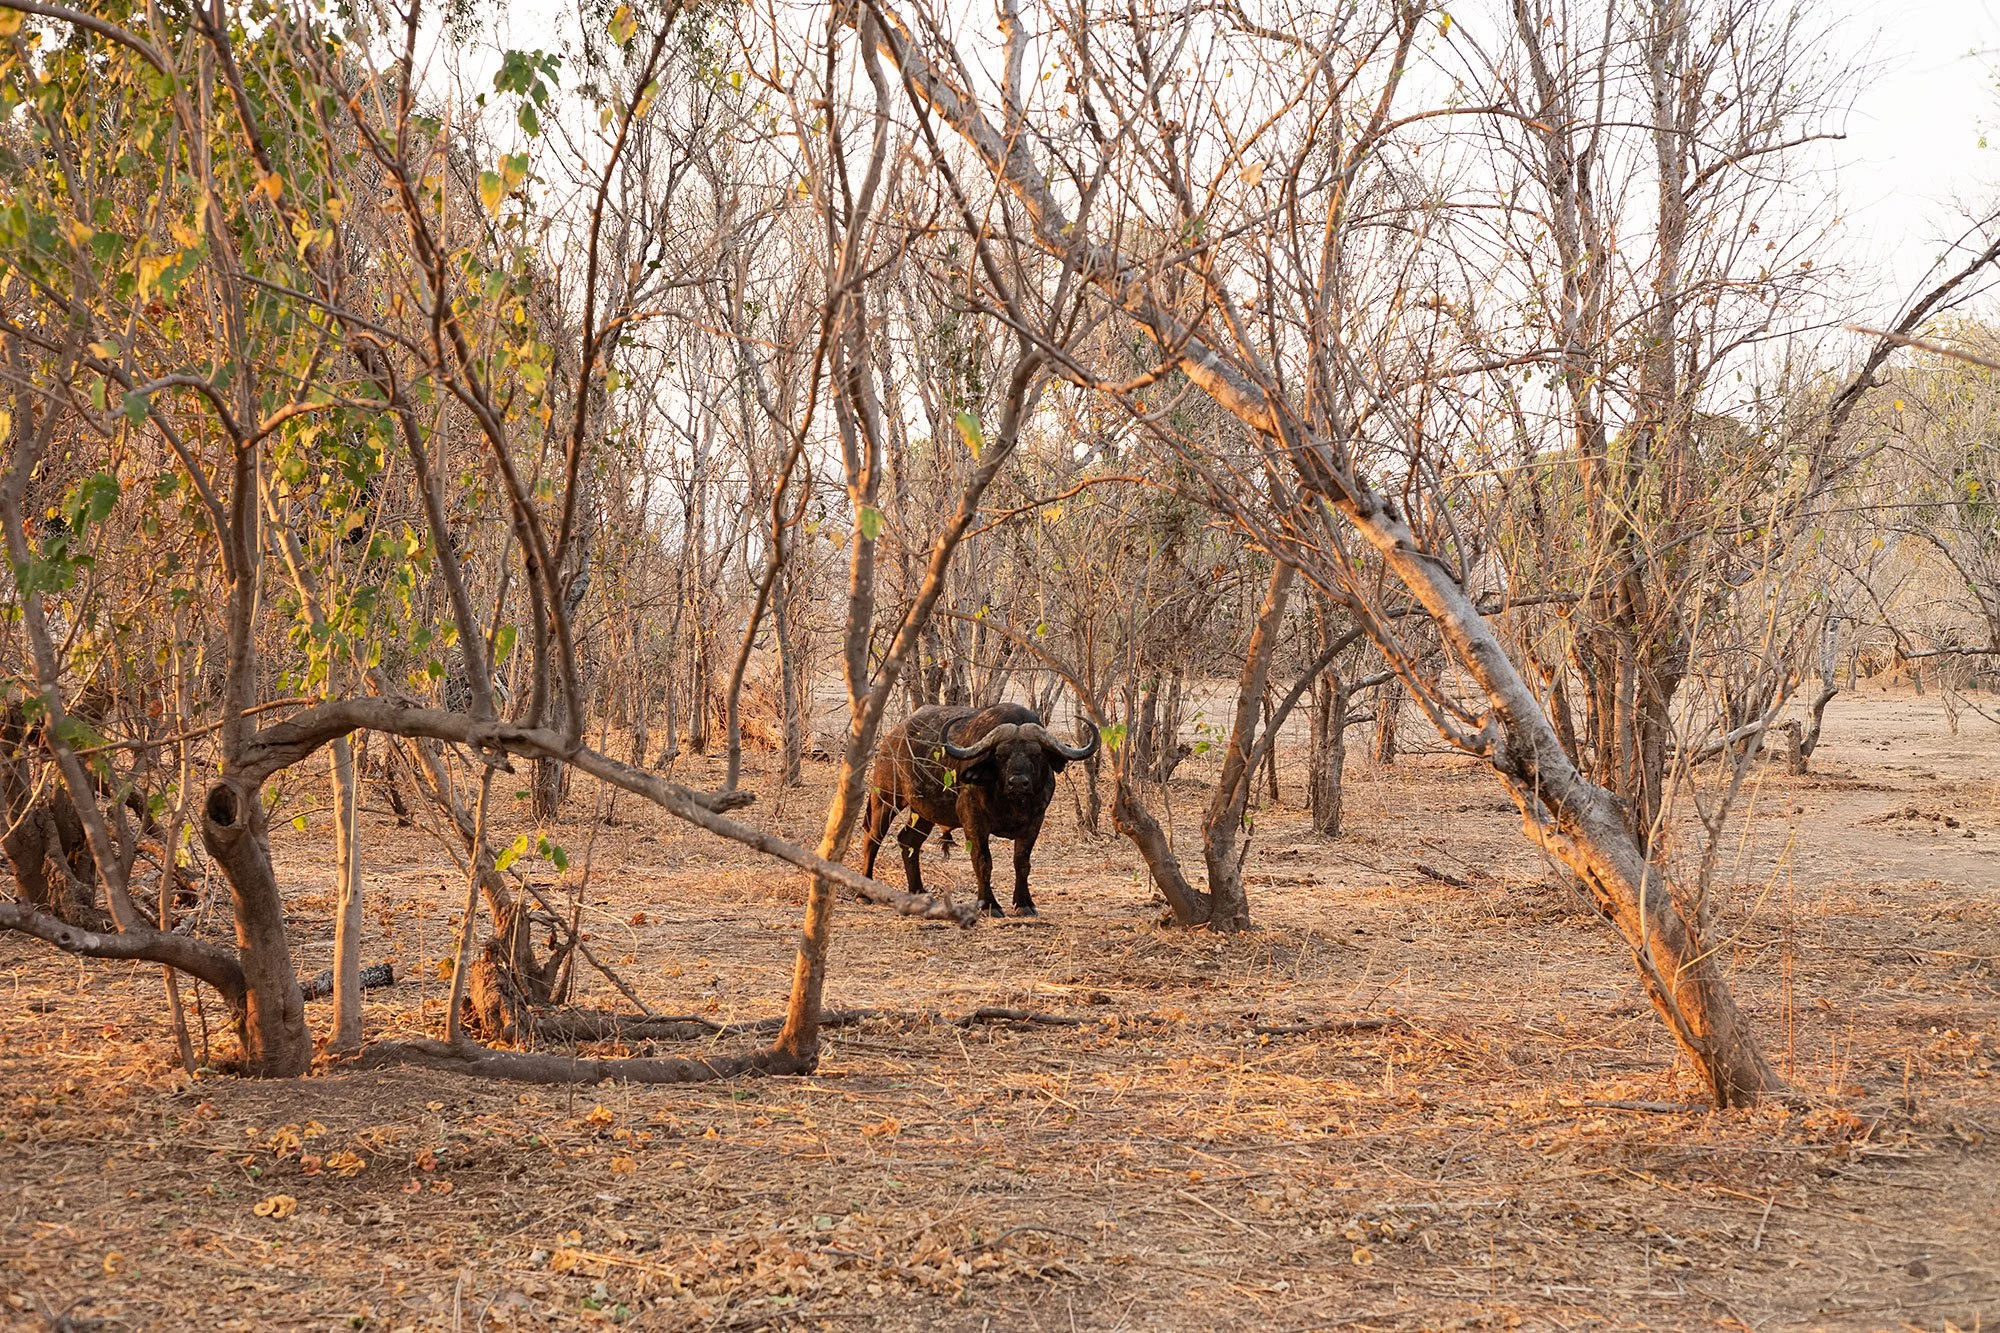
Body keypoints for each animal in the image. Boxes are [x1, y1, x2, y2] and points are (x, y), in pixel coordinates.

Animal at [863, 703, 1099, 917]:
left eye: (1037, 754)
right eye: (1001, 755)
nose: (1018, 782)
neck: (1010, 801)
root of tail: (892, 738)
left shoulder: (1035, 821)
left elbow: (1022, 862)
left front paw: (1024, 903)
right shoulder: (974, 821)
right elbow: (983, 861)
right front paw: (989, 905)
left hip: (923, 812)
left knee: (908, 841)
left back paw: (918, 891)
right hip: (885, 798)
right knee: (873, 839)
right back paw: (864, 893)